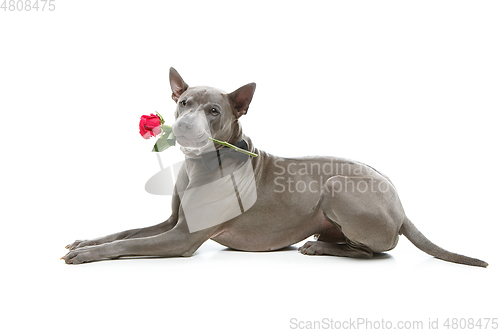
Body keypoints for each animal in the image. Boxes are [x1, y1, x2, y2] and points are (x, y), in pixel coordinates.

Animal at [62, 67, 488, 268]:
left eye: (213, 110)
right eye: (183, 102)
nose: (185, 126)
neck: (202, 163)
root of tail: (401, 205)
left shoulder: (182, 237)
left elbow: (128, 244)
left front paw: (86, 256)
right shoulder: (171, 222)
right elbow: (124, 231)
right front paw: (84, 243)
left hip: (338, 186)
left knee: (374, 252)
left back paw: (318, 248)